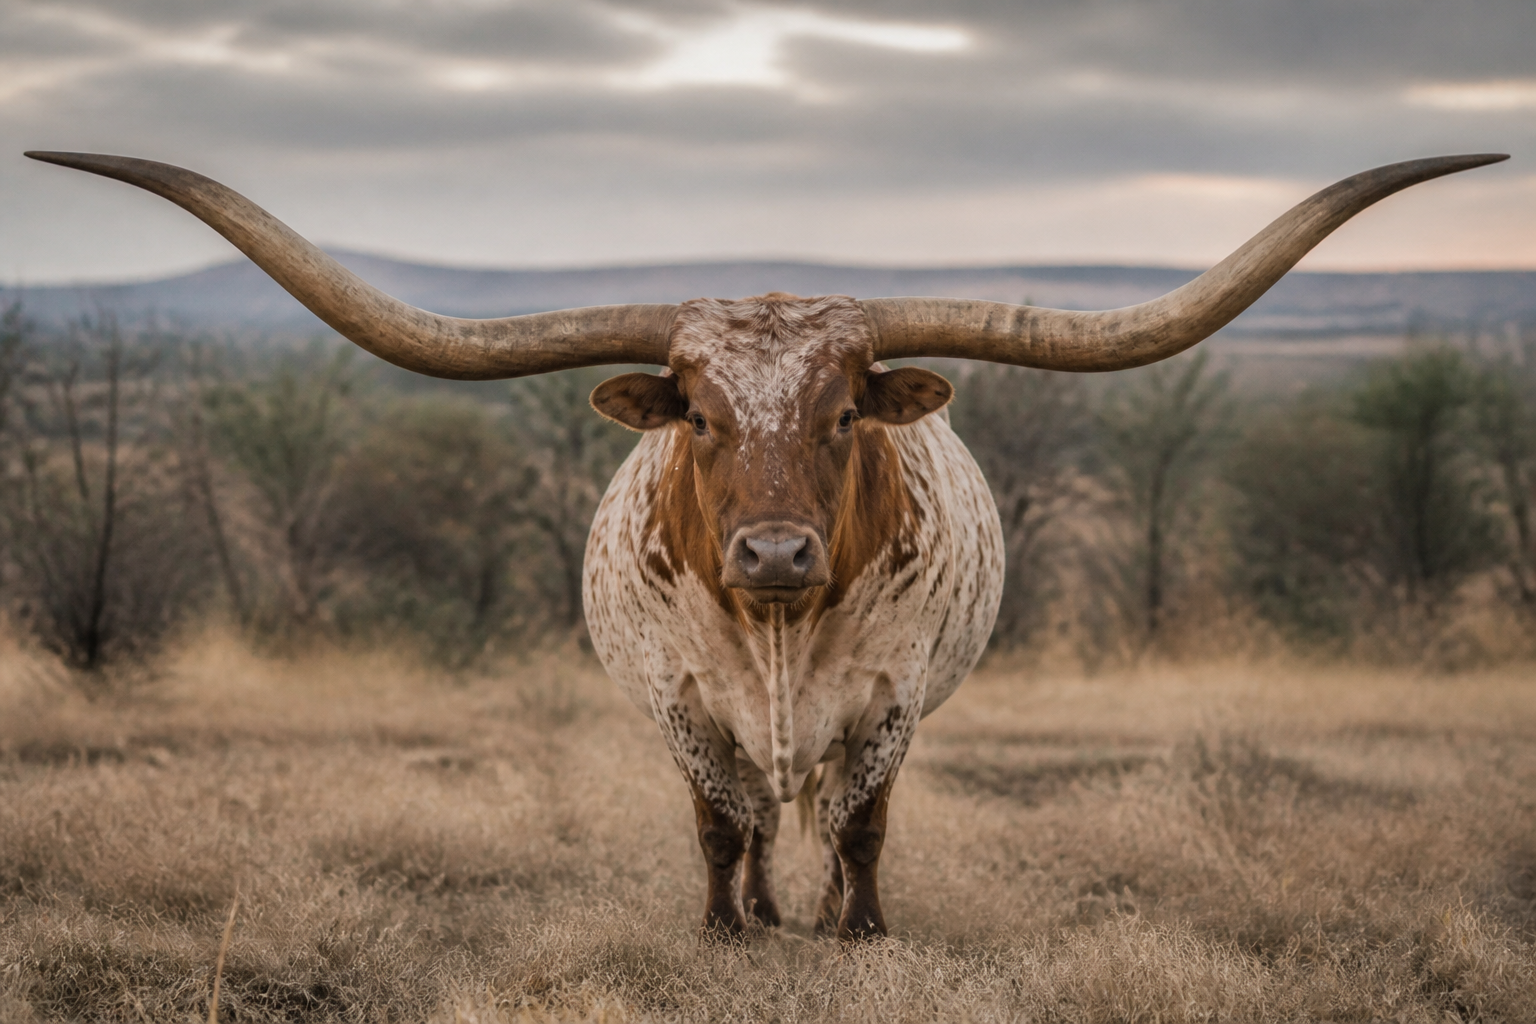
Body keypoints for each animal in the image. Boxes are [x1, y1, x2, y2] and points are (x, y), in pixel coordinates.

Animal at [27, 149, 1506, 940]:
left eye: (847, 408)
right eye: (696, 411)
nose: (779, 557)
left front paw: (857, 931)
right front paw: (729, 928)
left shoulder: (890, 702)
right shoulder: (683, 704)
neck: (784, 634)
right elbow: (717, 825)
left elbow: (862, 824)